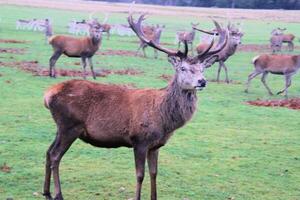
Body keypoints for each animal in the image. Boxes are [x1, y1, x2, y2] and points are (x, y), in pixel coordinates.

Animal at [43, 13, 229, 200]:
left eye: (202, 69)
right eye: (183, 68)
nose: (202, 81)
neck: (164, 120)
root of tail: (48, 95)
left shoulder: (156, 145)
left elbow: (154, 173)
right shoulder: (139, 140)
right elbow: (140, 175)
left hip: (60, 127)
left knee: (48, 152)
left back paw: (46, 192)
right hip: (70, 126)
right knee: (56, 155)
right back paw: (58, 194)